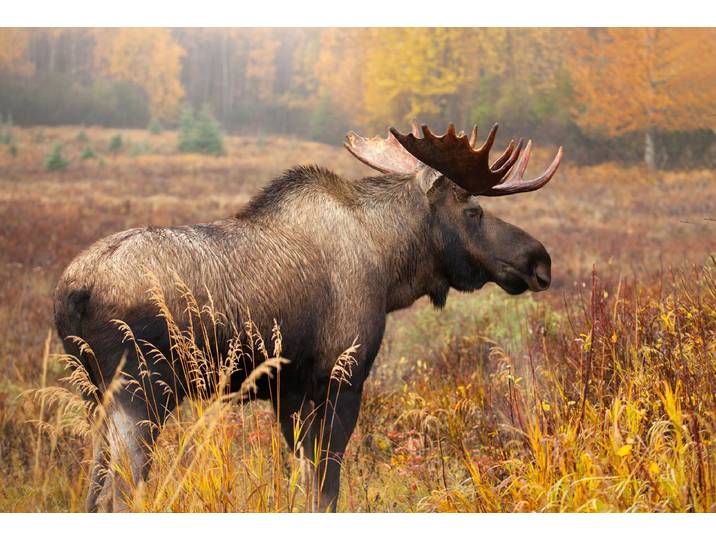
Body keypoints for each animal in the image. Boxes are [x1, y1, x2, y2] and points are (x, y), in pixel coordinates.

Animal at [54, 121, 562, 512]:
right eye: (473, 210)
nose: (540, 260)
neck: (390, 267)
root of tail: (72, 293)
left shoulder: (288, 391)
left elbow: (303, 481)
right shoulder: (341, 378)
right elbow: (326, 489)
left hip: (95, 394)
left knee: (92, 492)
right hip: (141, 391)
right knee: (118, 495)